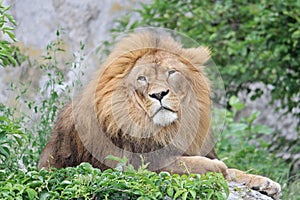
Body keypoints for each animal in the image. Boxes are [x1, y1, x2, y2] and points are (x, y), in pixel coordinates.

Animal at [38, 30, 282, 199]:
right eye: (142, 78)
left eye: (171, 72)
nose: (158, 94)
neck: (165, 129)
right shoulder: (136, 165)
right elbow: (196, 165)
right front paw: (218, 169)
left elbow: (234, 170)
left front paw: (265, 183)